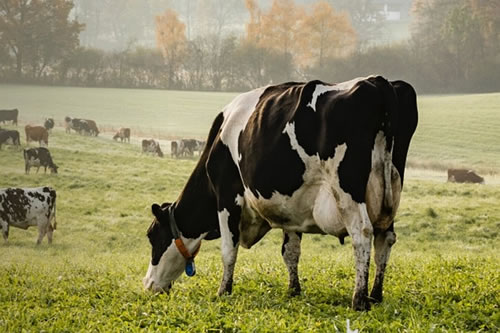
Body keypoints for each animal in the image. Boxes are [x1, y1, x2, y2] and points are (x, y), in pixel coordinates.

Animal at [145, 76, 418, 310]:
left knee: (362, 234)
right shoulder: (292, 209)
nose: (148, 284)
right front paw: (293, 290)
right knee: (385, 238)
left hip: (348, 191)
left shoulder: (227, 196)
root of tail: (377, 81)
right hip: (390, 193)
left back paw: (359, 299)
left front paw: (223, 291)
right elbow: (290, 252)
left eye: (152, 236)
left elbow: (228, 250)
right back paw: (376, 295)